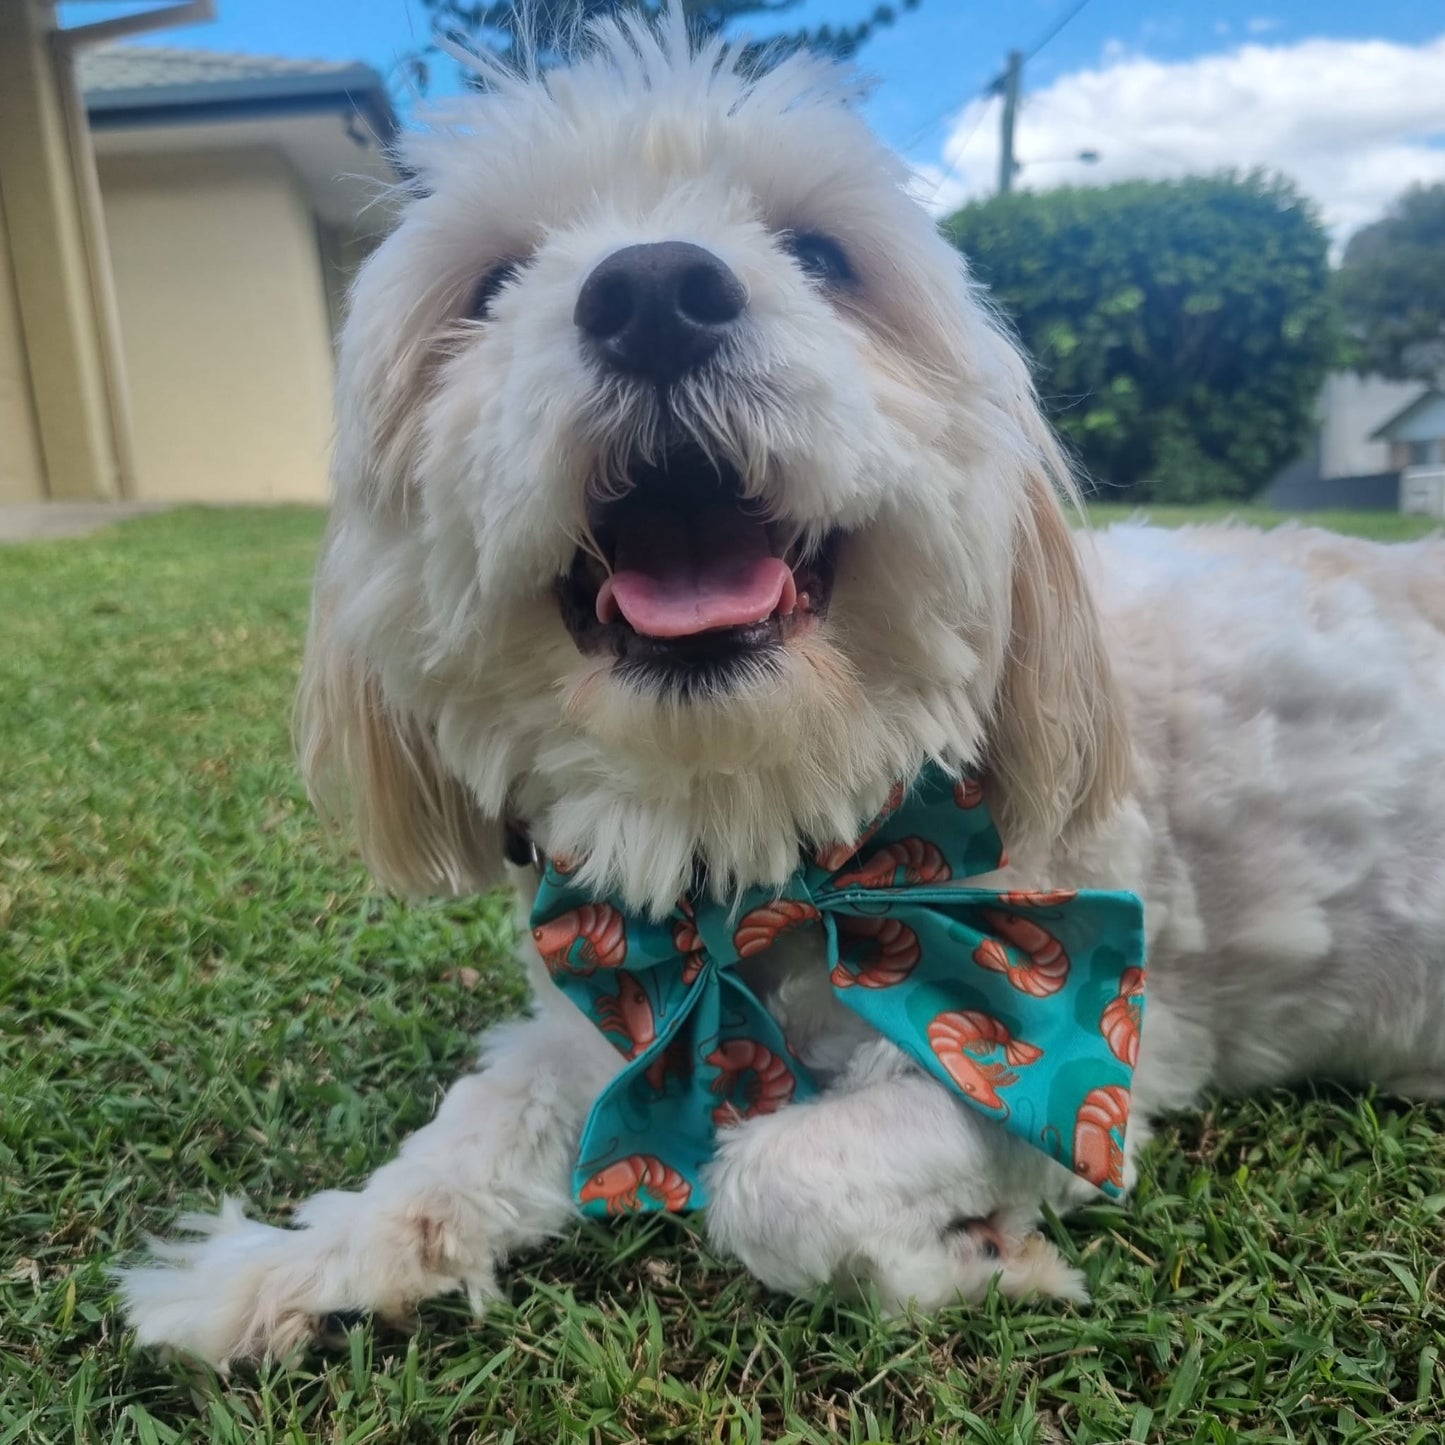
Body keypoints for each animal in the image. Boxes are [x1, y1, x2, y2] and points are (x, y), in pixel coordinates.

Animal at [121, 8, 1445, 1364]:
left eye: (820, 254)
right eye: (488, 285)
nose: (653, 293)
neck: (761, 830)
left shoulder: (1075, 1053)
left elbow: (771, 1176)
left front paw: (973, 1262)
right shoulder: (607, 1009)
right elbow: (468, 1136)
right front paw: (278, 1266)